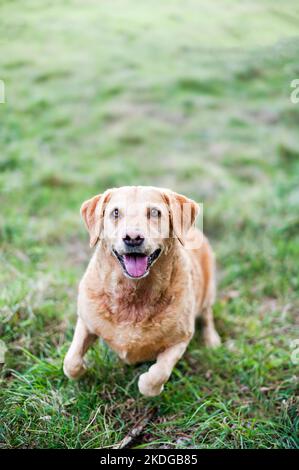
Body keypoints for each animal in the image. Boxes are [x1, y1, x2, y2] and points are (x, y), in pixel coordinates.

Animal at [63, 186, 220, 396]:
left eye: (155, 212)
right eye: (115, 212)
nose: (132, 238)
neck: (133, 296)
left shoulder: (180, 340)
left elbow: (156, 376)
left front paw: (147, 382)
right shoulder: (86, 321)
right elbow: (70, 362)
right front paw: (83, 369)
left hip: (209, 290)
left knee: (207, 315)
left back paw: (212, 340)